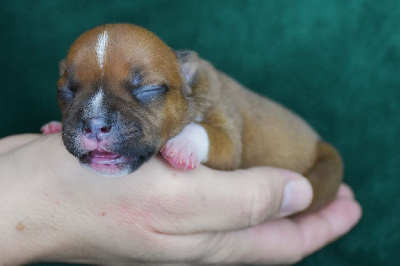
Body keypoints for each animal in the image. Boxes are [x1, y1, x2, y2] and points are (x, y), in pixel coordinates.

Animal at [43, 24, 344, 212]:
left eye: (148, 90)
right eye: (65, 92)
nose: (93, 124)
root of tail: (319, 142)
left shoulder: (229, 142)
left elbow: (207, 132)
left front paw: (182, 145)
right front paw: (55, 126)